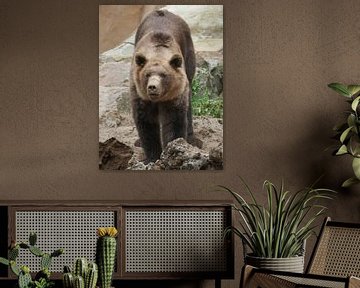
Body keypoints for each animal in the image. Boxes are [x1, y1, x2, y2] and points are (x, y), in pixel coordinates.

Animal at [130, 9, 197, 163]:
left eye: (163, 75)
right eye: (147, 74)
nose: (152, 87)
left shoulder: (175, 94)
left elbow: (174, 121)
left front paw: (173, 150)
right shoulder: (140, 94)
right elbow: (146, 123)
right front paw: (152, 157)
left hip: (188, 53)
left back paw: (192, 138)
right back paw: (138, 142)